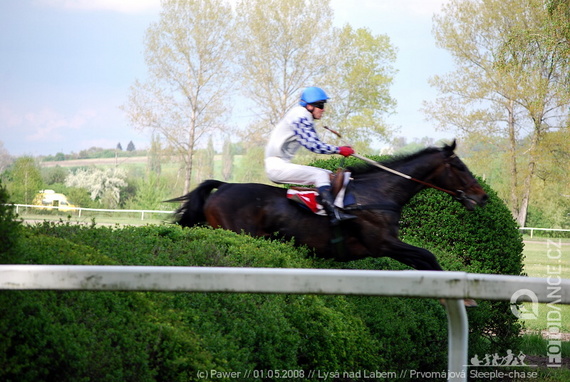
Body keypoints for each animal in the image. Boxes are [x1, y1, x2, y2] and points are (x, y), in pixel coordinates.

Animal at [169, 140, 484, 272]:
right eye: (459, 166)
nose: (482, 197)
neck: (376, 194)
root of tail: (223, 186)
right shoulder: (383, 244)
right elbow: (428, 256)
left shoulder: (390, 247)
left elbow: (424, 261)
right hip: (236, 232)